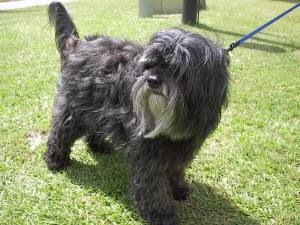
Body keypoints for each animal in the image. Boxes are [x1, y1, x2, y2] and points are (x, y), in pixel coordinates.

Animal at [45, 2, 230, 225]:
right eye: (150, 64)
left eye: (177, 69)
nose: (151, 80)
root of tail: (78, 44)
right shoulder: (148, 151)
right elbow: (153, 186)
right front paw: (162, 214)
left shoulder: (182, 146)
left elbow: (175, 169)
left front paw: (178, 188)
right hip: (75, 108)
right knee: (61, 131)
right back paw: (55, 159)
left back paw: (98, 146)